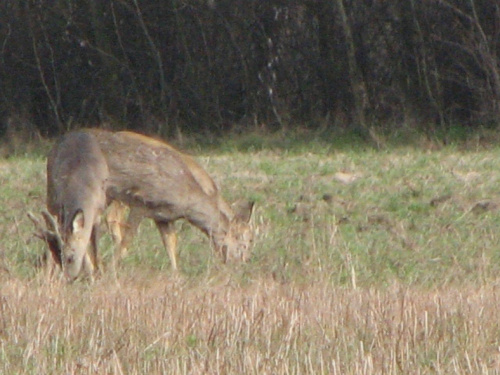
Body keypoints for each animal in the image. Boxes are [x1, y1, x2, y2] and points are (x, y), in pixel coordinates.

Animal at [43, 131, 108, 280]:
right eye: (59, 256)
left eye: (70, 257)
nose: (68, 278)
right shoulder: (61, 207)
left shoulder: (99, 212)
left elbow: (95, 244)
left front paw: (98, 272)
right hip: (50, 195)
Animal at [88, 129, 256, 270]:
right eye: (246, 241)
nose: (245, 261)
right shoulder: (141, 203)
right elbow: (128, 238)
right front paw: (114, 267)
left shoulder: (163, 217)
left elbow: (170, 243)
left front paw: (176, 273)